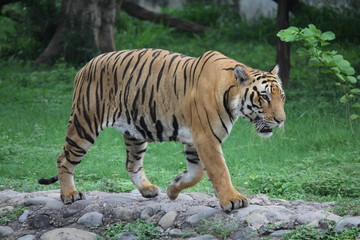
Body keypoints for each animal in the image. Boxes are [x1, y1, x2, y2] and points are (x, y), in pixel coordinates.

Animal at [38, 48, 286, 212]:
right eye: (264, 97)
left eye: (281, 96)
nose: (281, 120)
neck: (231, 96)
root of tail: (85, 66)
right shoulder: (206, 138)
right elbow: (219, 171)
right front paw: (232, 200)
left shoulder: (194, 141)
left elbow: (196, 173)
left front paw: (173, 188)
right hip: (85, 124)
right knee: (63, 158)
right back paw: (69, 194)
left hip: (136, 133)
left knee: (131, 163)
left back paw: (148, 189)